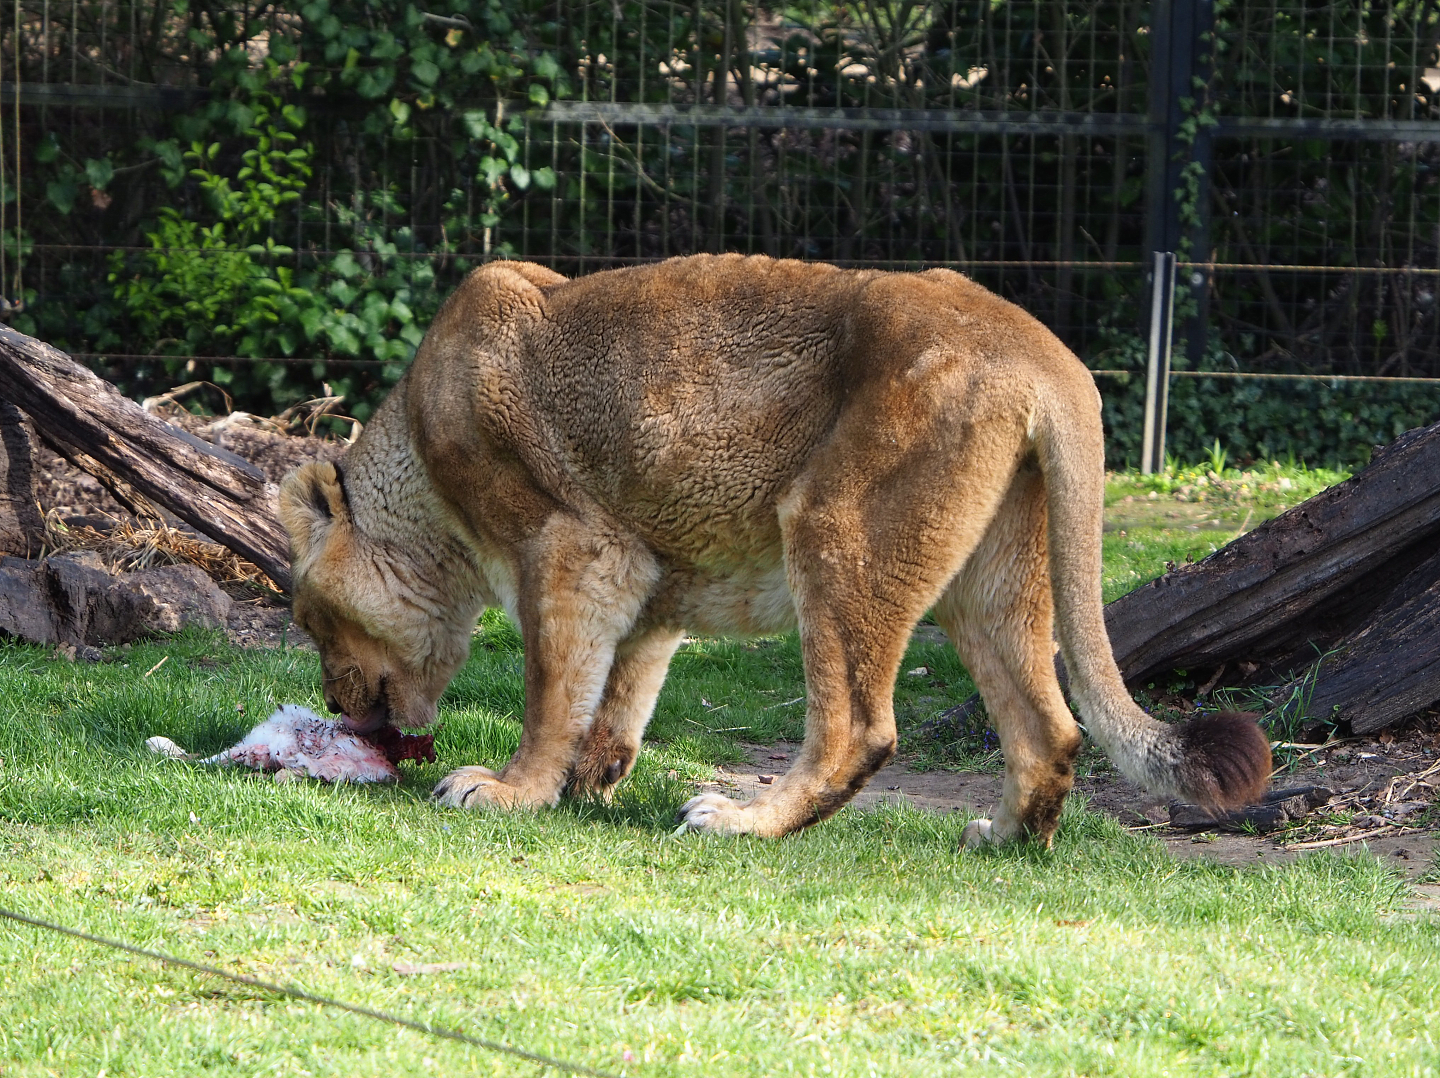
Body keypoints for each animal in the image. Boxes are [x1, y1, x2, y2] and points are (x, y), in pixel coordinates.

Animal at [278, 254, 1269, 846]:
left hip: (837, 527)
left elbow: (552, 689)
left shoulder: (570, 543)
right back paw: (1003, 841)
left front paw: (511, 790)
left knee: (859, 730)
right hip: (989, 576)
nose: (331, 700)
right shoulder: (644, 568)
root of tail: (1043, 352)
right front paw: (590, 783)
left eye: (311, 621)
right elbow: (620, 693)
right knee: (1049, 727)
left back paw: (740, 819)